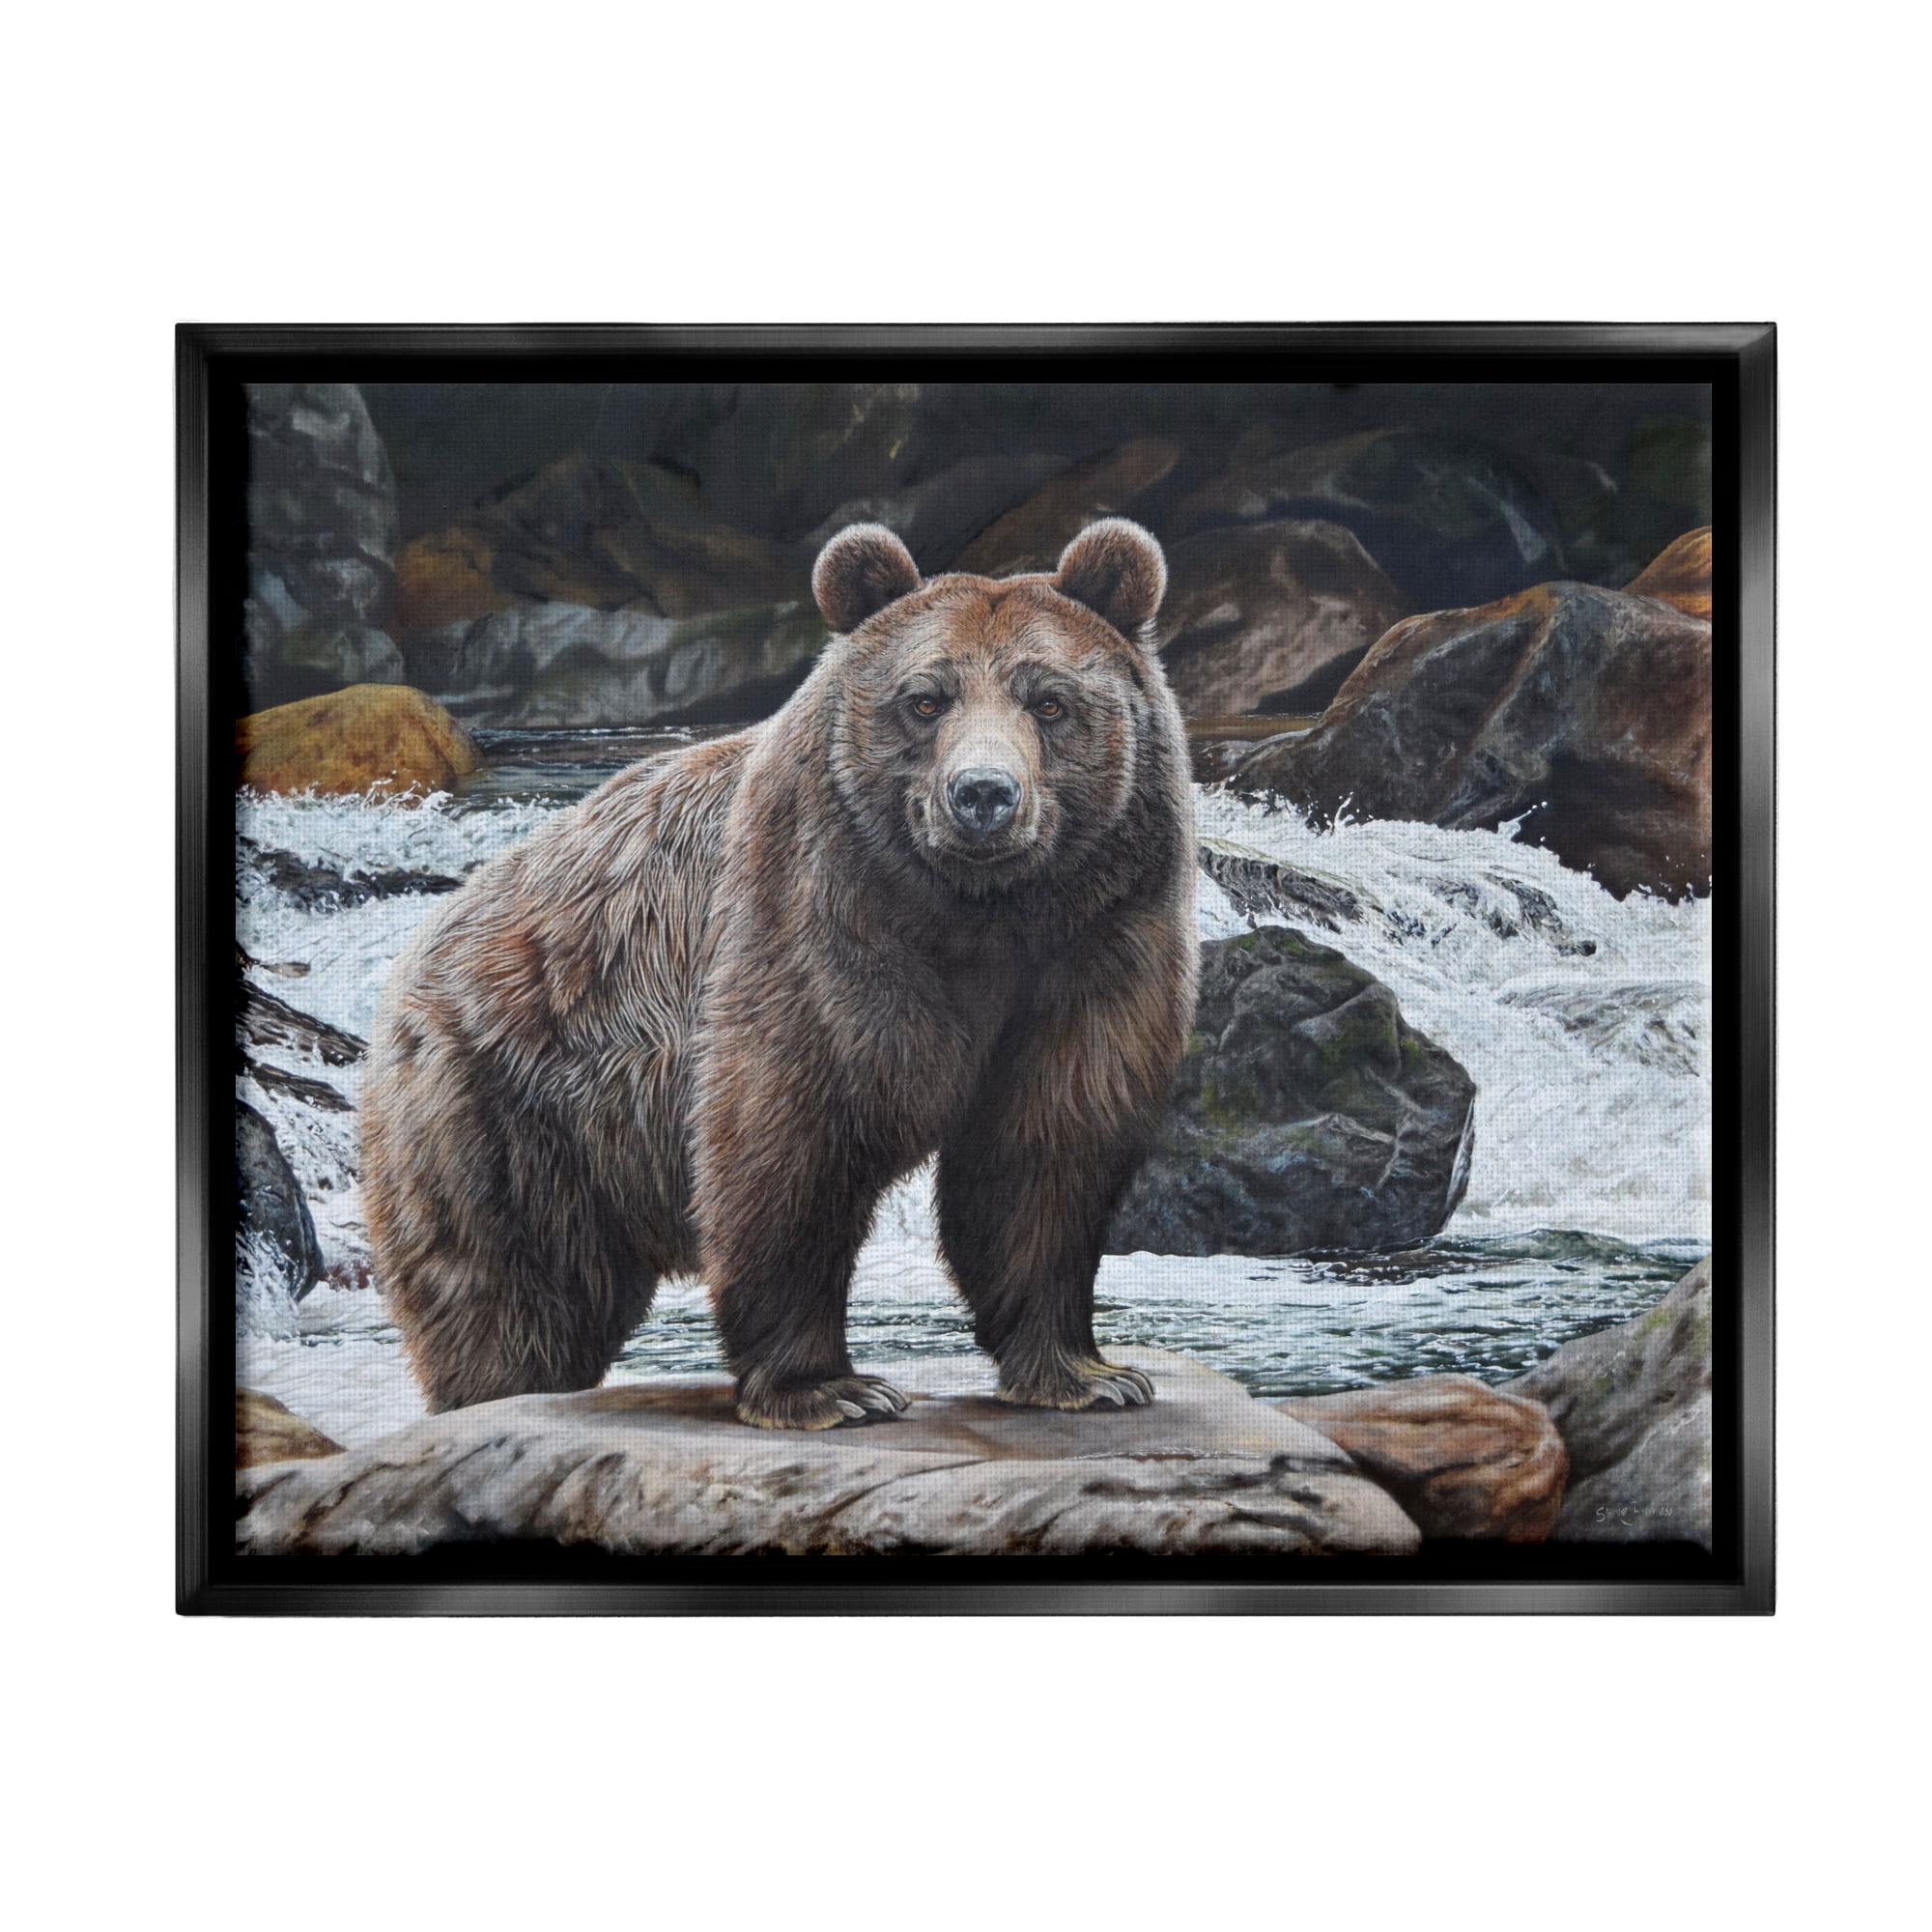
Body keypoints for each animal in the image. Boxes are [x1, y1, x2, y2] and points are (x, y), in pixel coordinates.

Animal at [360, 517, 1199, 1429]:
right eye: (925, 700)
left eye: (1050, 702)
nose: (983, 795)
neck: (985, 914)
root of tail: (423, 947)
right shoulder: (816, 918)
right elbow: (791, 1135)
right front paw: (832, 1389)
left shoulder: (1098, 943)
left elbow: (1044, 1148)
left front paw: (1086, 1372)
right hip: (507, 1105)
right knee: (510, 1292)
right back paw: (494, 1392)